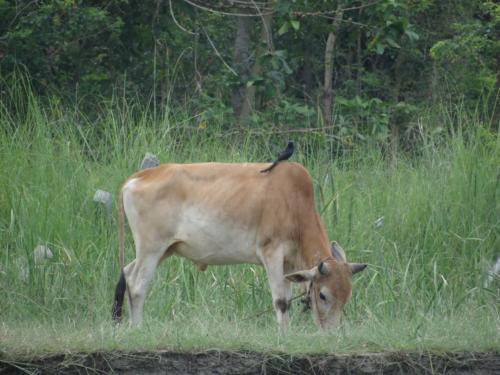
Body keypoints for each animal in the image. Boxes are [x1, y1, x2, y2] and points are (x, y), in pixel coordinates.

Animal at [111, 161, 366, 328]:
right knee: (137, 285)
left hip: (163, 250)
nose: (330, 332)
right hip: (151, 248)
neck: (294, 203)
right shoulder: (271, 252)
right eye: (323, 295)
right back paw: (138, 329)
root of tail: (138, 177)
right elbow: (281, 302)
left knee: (127, 273)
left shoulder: (288, 263)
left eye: (347, 296)